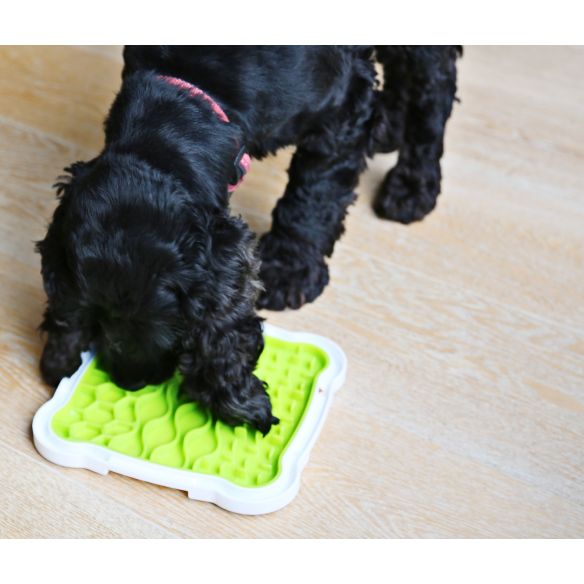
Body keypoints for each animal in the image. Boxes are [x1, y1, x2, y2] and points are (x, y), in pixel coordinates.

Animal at [37, 46, 460, 434]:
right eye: (91, 315)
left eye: (173, 326)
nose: (129, 381)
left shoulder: (342, 107)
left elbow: (313, 194)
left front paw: (289, 270)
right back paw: (390, 130)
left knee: (435, 84)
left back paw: (413, 186)